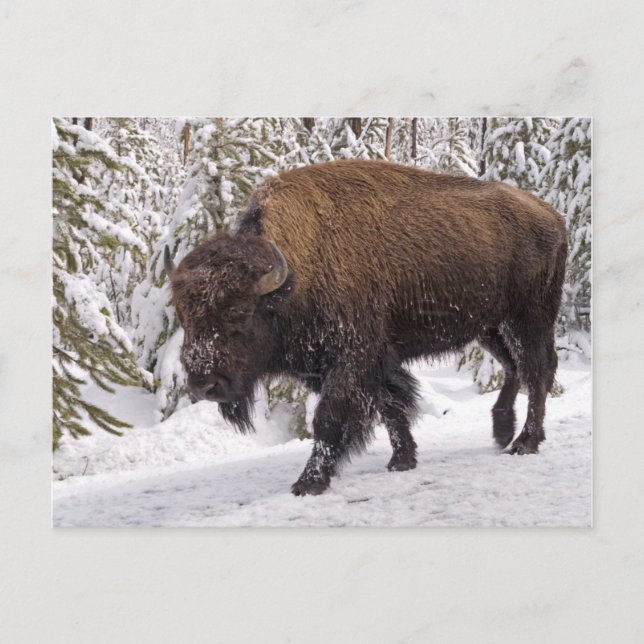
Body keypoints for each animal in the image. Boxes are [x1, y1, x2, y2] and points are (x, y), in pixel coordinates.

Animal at [165, 159, 567, 496]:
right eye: (184, 317)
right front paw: (402, 460)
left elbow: (329, 418)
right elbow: (389, 406)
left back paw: (525, 442)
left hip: (529, 318)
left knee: (537, 370)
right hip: (490, 327)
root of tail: (552, 215)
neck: (296, 274)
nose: (204, 385)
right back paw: (502, 431)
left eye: (242, 315)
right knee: (514, 367)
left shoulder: (351, 359)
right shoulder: (354, 364)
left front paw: (309, 482)